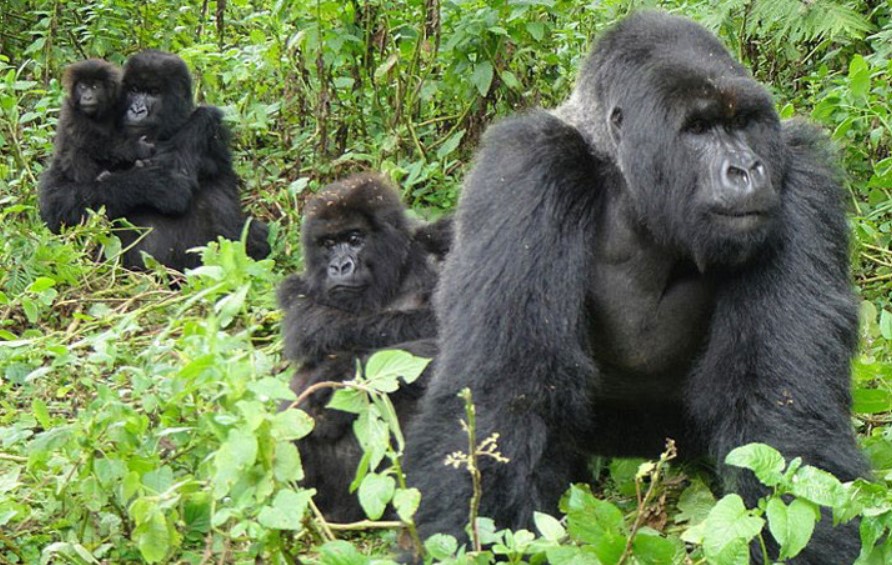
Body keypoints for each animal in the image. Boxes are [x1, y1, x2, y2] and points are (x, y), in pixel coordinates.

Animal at [39, 49, 268, 270]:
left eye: (153, 93)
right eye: (133, 90)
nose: (136, 110)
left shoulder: (212, 133)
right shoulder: (75, 133)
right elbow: (56, 201)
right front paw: (151, 183)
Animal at [400, 11, 868, 560]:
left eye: (743, 123)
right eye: (699, 128)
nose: (748, 169)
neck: (629, 186)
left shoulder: (800, 174)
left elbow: (784, 413)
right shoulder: (527, 164)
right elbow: (504, 389)